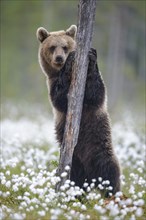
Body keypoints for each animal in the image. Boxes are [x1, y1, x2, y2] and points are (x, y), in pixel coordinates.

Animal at [36, 24, 121, 197]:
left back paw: (111, 193)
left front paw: (92, 55)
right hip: (74, 162)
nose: (59, 58)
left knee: (110, 171)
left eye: (65, 46)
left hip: (99, 148)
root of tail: (90, 177)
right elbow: (60, 99)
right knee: (74, 178)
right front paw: (68, 65)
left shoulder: (93, 100)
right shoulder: (52, 85)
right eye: (52, 47)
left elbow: (95, 92)